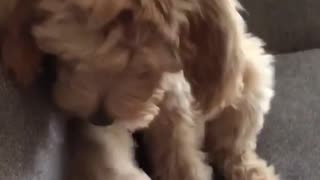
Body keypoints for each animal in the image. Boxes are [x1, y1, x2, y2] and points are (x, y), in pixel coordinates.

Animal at [1, 0, 278, 180]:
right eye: (71, 55)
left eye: (144, 68)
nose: (100, 118)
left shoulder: (176, 99)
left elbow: (181, 150)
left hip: (252, 76)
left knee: (234, 143)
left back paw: (251, 170)